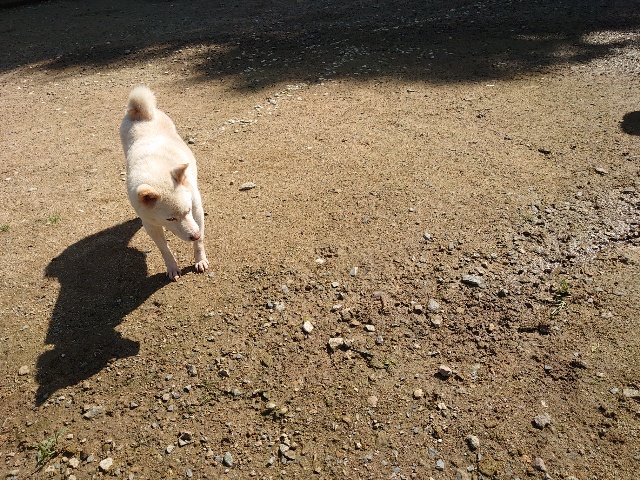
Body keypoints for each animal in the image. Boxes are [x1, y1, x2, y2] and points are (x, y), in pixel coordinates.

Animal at [120, 86, 209, 281]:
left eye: (188, 210)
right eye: (170, 219)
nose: (195, 234)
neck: (157, 172)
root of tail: (141, 114)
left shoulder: (197, 209)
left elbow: (199, 243)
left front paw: (200, 260)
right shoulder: (151, 225)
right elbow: (164, 249)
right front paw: (172, 267)